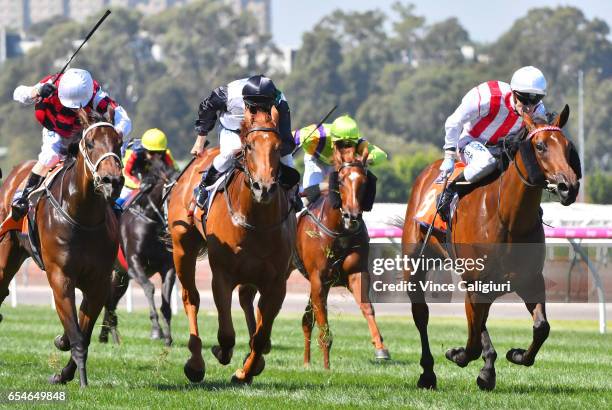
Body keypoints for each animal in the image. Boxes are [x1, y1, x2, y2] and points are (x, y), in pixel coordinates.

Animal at [0, 107, 123, 386]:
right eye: (90, 144)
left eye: (119, 143)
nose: (111, 181)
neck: (82, 215)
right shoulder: (60, 277)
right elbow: (77, 334)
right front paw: (80, 379)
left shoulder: (98, 282)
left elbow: (83, 332)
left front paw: (65, 367)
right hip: (5, 252)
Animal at [99, 162, 177, 348]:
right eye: (173, 199)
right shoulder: (134, 265)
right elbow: (149, 287)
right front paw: (156, 331)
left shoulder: (168, 268)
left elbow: (166, 304)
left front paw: (168, 338)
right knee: (107, 302)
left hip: (120, 277)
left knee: (111, 303)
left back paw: (108, 337)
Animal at [167, 109, 296, 384]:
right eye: (249, 146)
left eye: (278, 147)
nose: (264, 187)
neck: (255, 220)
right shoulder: (222, 274)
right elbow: (226, 334)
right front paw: (219, 352)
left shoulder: (277, 282)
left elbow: (261, 336)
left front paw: (245, 371)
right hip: (183, 245)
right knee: (191, 297)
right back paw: (195, 362)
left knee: (247, 300)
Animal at [402, 106, 580, 390]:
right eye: (540, 146)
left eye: (568, 146)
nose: (569, 187)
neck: (507, 217)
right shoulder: (477, 282)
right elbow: (472, 342)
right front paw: (457, 354)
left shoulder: (530, 280)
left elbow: (541, 327)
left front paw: (515, 354)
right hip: (416, 262)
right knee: (421, 314)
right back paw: (428, 373)